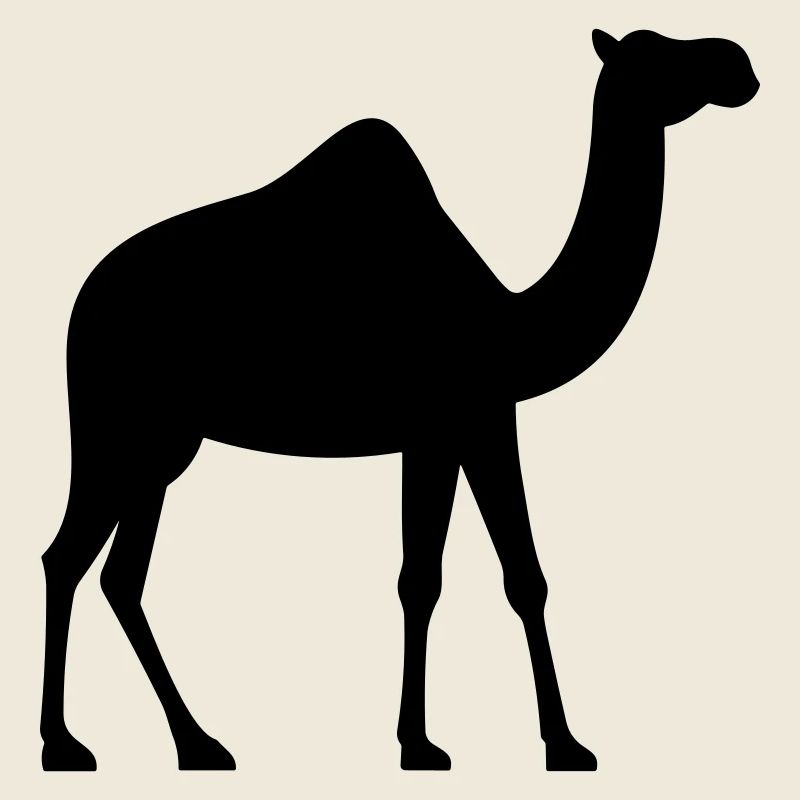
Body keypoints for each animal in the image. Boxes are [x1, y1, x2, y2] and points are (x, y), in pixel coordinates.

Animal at [40, 29, 758, 772]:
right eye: (656, 57)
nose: (737, 61)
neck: (513, 323)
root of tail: (82, 305)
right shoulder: (474, 418)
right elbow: (477, 576)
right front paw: (505, 745)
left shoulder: (452, 429)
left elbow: (463, 578)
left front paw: (475, 741)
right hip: (116, 425)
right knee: (67, 558)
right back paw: (66, 745)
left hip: (164, 445)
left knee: (119, 575)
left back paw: (197, 744)